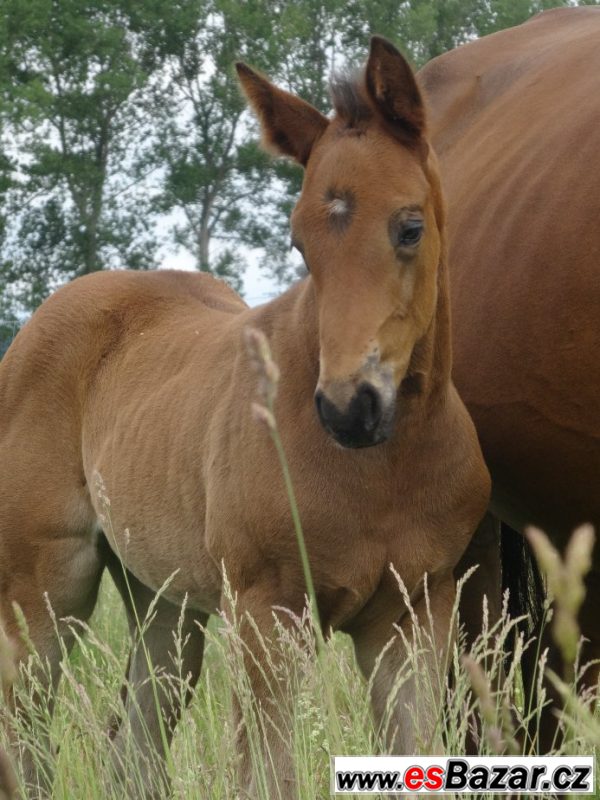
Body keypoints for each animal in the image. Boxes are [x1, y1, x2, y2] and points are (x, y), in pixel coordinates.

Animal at [0, 36, 492, 792]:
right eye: (298, 243)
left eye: (410, 227)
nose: (347, 408)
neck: (386, 470)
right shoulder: (267, 616)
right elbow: (266, 777)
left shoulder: (414, 619)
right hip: (45, 590)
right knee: (24, 736)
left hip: (163, 603)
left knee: (133, 746)